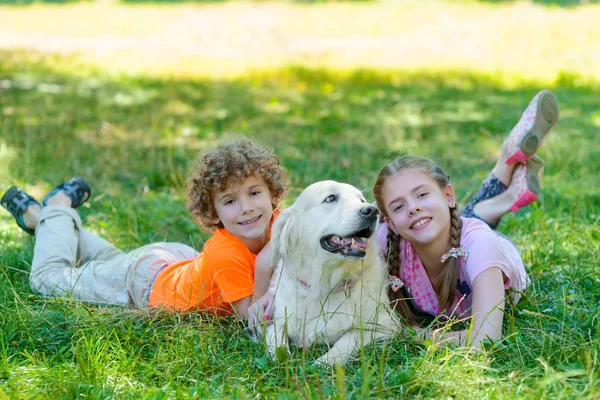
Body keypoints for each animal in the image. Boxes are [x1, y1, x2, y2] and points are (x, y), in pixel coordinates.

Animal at [264, 180, 400, 366]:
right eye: (331, 198)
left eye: (362, 200)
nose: (372, 211)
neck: (324, 286)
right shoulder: (275, 321)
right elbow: (276, 339)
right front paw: (283, 361)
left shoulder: (387, 325)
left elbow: (350, 337)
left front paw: (322, 363)